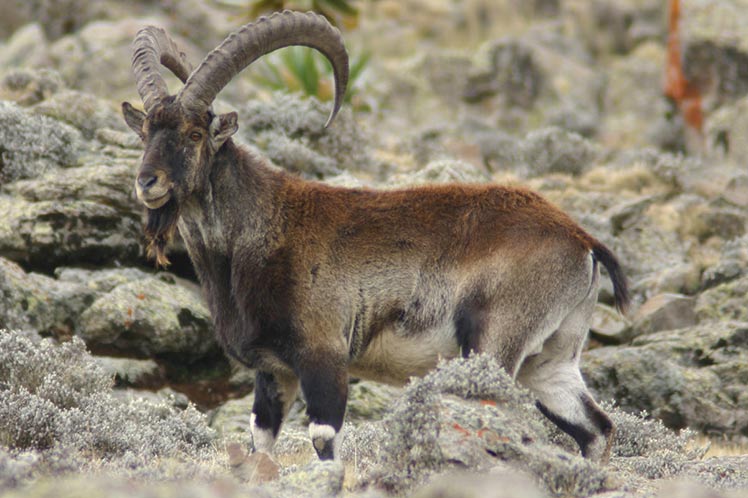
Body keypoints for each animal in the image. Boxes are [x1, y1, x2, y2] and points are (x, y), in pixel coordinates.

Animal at [122, 11, 629, 463]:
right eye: (145, 131)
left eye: (194, 133)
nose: (148, 182)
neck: (259, 231)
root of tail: (581, 239)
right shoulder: (273, 373)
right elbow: (259, 443)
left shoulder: (324, 355)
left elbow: (324, 440)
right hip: (551, 362)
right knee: (597, 428)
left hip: (494, 342)